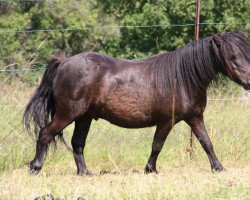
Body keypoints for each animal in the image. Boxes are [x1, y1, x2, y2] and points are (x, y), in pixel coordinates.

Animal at [23, 30, 250, 175]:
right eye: (232, 56)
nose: (249, 82)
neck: (182, 78)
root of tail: (63, 63)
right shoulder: (166, 121)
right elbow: (157, 145)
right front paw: (150, 169)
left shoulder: (195, 118)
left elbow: (206, 143)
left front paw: (218, 167)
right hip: (67, 114)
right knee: (45, 133)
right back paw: (35, 167)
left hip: (84, 117)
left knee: (77, 144)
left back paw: (85, 172)